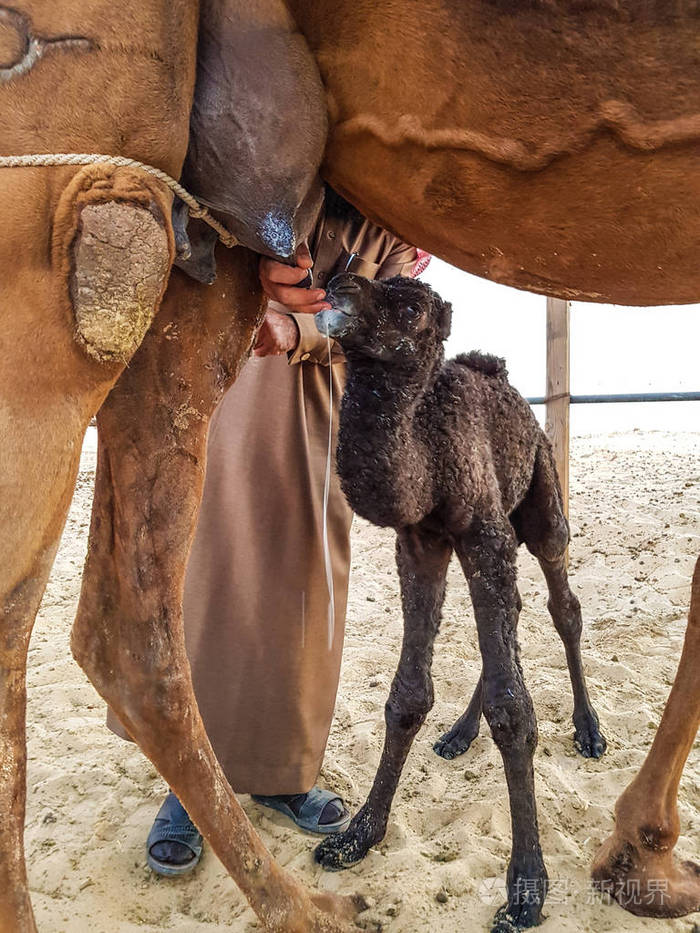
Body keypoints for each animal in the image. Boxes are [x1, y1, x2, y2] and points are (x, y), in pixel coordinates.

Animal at [314, 276, 604, 932]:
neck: (426, 453)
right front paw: (357, 833)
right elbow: (407, 695)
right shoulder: (420, 541)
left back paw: (590, 729)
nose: (339, 285)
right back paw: (458, 734)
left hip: (540, 499)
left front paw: (526, 887)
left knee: (563, 606)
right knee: (514, 611)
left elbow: (513, 709)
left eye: (410, 308)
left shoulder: (482, 532)